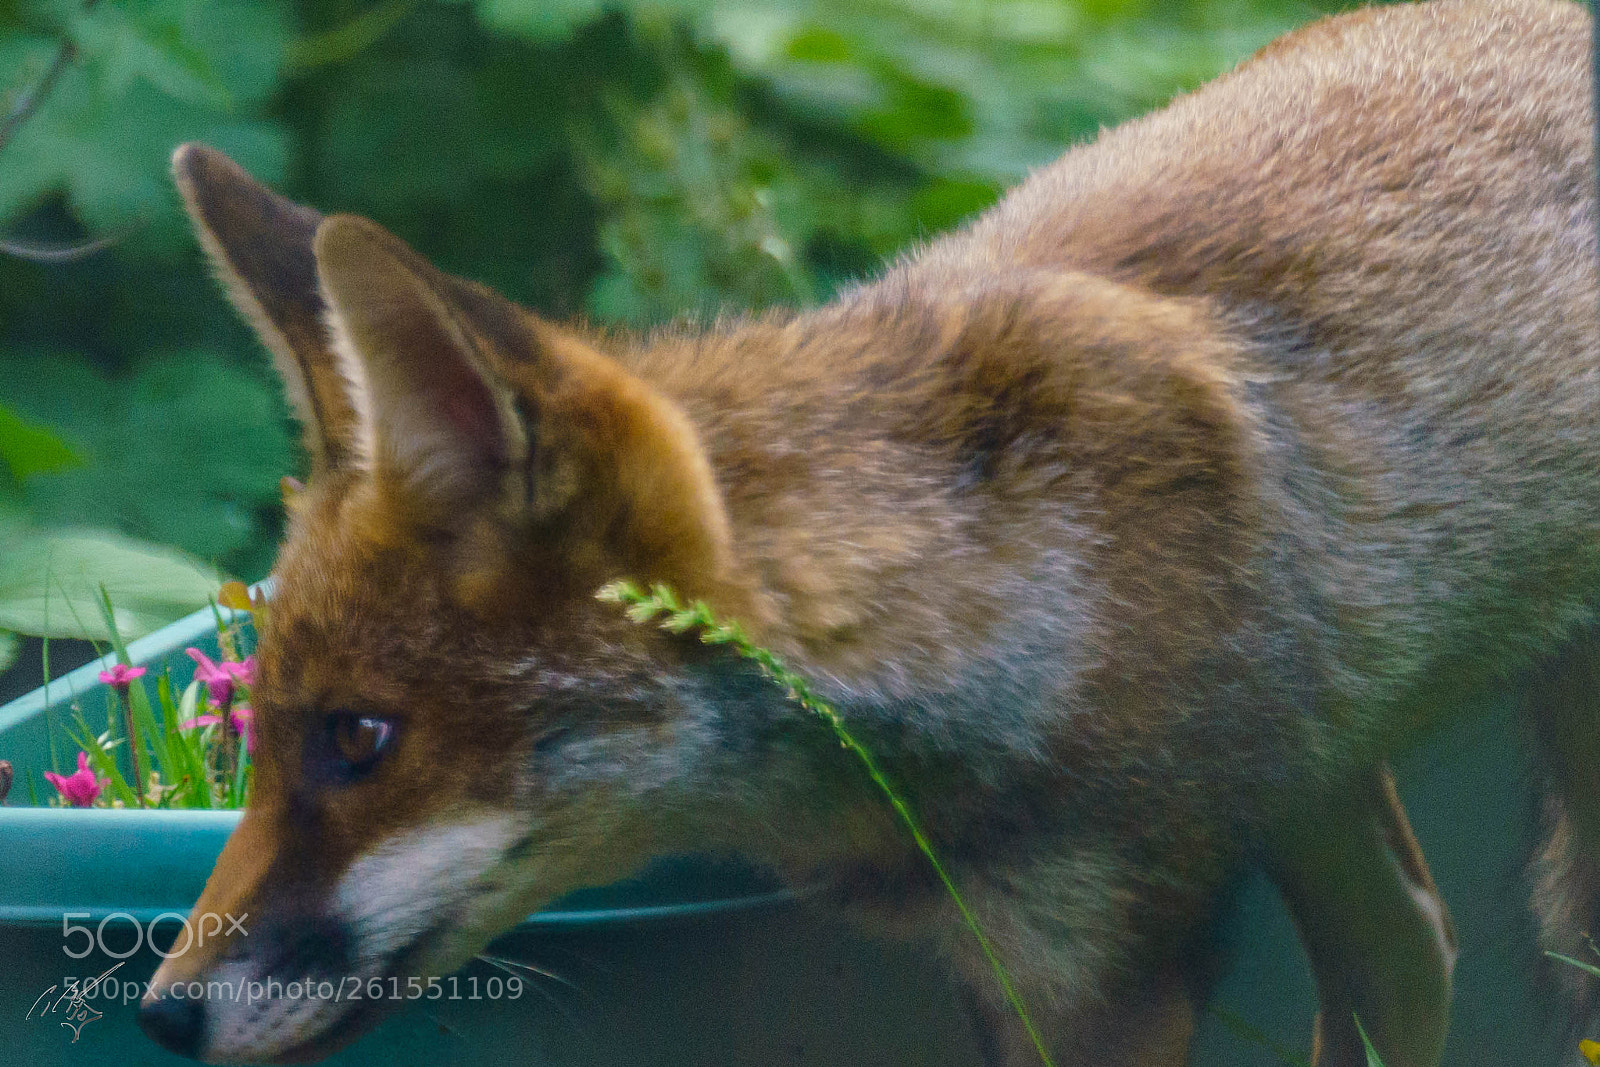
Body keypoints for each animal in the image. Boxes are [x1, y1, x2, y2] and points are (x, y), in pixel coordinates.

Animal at [138, 0, 1597, 1064]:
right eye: (255, 742)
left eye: (359, 739)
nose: (157, 1007)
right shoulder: (1018, 960)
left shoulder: (1106, 964)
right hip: (1327, 785)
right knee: (1415, 953)